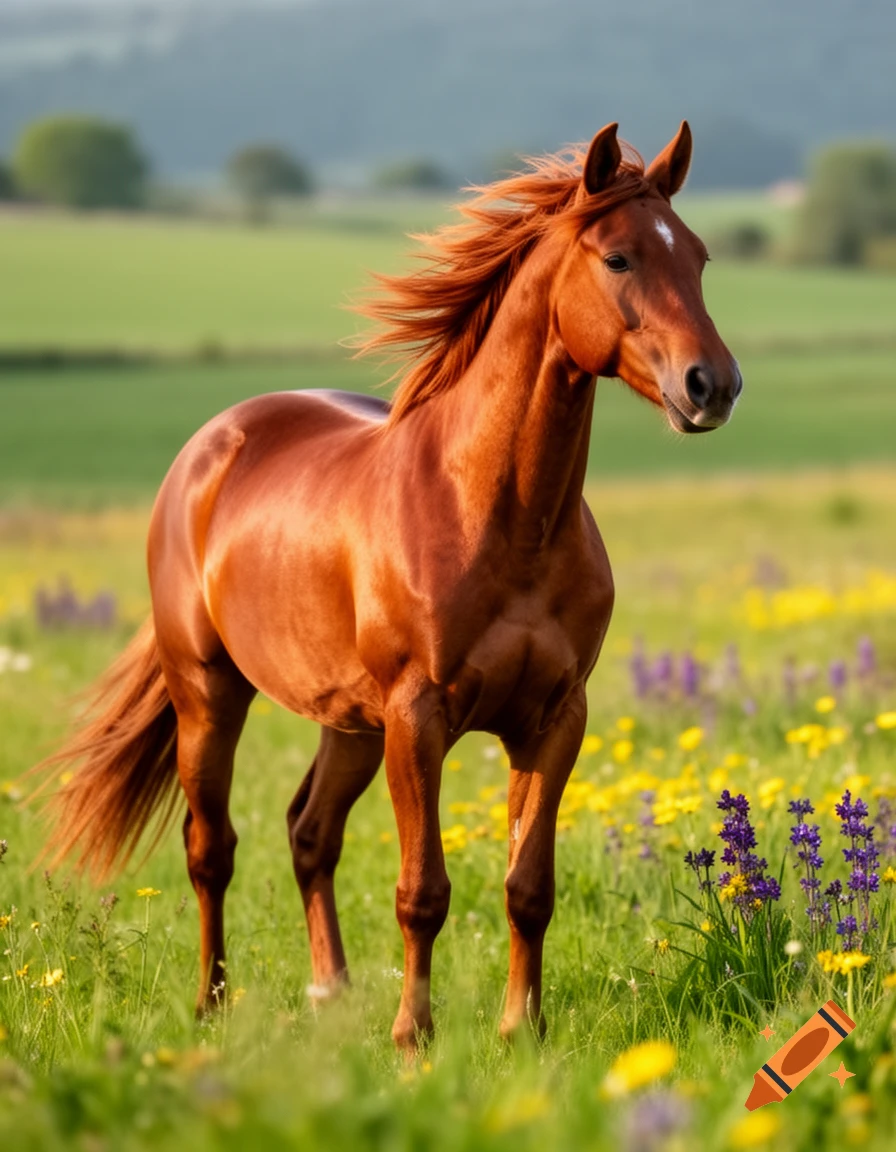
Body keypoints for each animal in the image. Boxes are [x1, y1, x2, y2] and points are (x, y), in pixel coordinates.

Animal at [37, 121, 741, 1050]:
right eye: (619, 258)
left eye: (697, 256)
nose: (713, 386)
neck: (502, 517)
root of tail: (211, 444)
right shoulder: (419, 716)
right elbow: (422, 892)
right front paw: (414, 1037)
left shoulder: (554, 720)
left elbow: (528, 888)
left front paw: (522, 1032)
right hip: (210, 695)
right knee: (210, 847)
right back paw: (211, 1005)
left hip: (349, 722)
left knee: (310, 832)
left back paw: (330, 994)